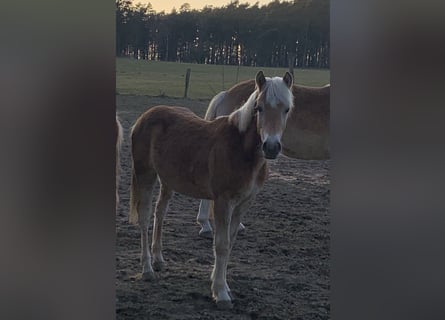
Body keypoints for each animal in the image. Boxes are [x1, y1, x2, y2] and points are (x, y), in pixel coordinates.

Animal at [129, 70, 294, 308]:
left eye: (287, 109)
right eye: (259, 108)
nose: (271, 147)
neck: (241, 149)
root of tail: (144, 117)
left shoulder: (244, 204)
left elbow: (230, 243)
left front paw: (223, 286)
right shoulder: (223, 201)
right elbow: (221, 245)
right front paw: (220, 293)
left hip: (168, 180)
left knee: (160, 213)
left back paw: (159, 259)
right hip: (145, 175)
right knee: (144, 218)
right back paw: (147, 269)